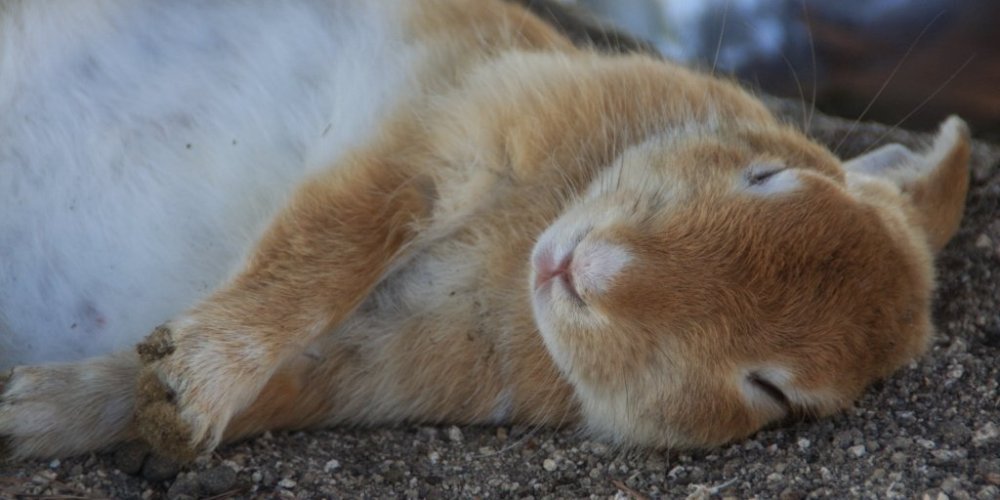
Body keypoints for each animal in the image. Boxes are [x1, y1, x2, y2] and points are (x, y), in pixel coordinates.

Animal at [0, 0, 968, 460]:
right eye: (769, 176)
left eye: (774, 395)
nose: (592, 271)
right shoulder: (442, 134)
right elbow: (332, 247)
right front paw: (192, 383)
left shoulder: (355, 368)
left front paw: (37, 413)